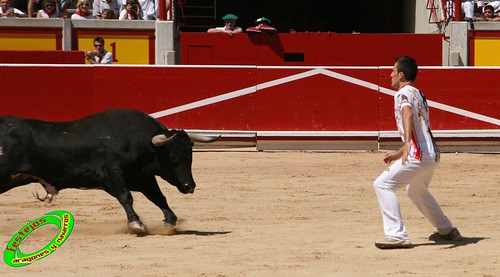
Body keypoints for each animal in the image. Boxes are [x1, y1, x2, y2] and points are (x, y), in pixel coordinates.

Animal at [0, 109, 219, 234]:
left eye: (190, 155)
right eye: (173, 156)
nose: (189, 186)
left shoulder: (143, 178)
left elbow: (158, 198)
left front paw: (170, 222)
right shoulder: (112, 173)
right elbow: (126, 197)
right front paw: (136, 224)